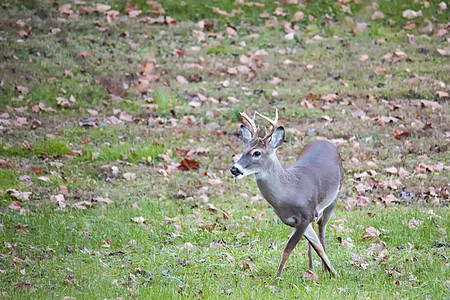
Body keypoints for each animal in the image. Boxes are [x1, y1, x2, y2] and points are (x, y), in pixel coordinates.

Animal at [230, 109, 342, 276]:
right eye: (243, 151)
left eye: (256, 153)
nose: (235, 169)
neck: (289, 192)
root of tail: (325, 141)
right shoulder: (296, 219)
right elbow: (315, 245)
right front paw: (332, 272)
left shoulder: (305, 216)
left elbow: (288, 250)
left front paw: (277, 277)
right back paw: (312, 268)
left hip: (335, 196)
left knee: (322, 227)